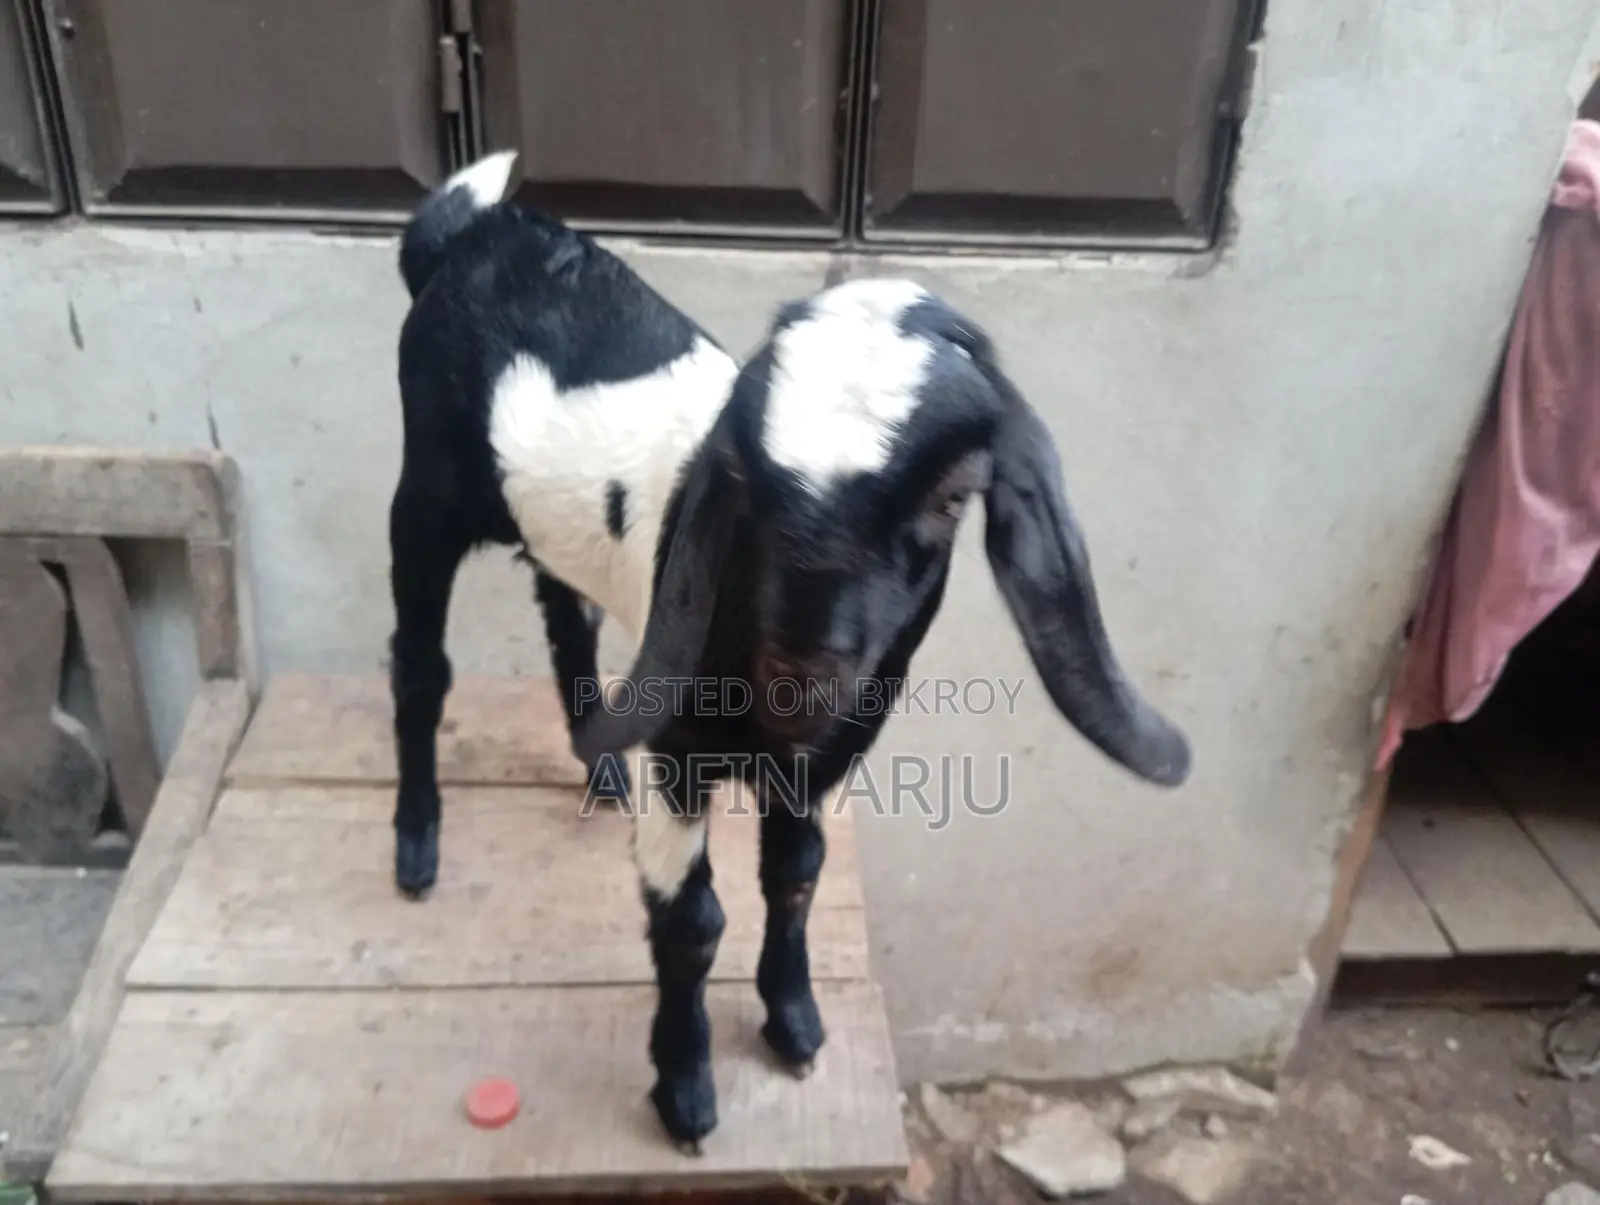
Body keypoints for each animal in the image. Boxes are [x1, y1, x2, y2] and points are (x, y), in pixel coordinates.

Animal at [388, 152, 1193, 1151]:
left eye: (951, 497)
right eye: (742, 477)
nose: (799, 682)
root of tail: (480, 229)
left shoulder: (826, 760)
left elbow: (797, 875)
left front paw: (796, 1023)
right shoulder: (679, 756)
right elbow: (693, 919)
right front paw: (686, 1090)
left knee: (565, 608)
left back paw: (596, 762)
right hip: (424, 493)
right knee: (421, 666)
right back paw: (416, 846)